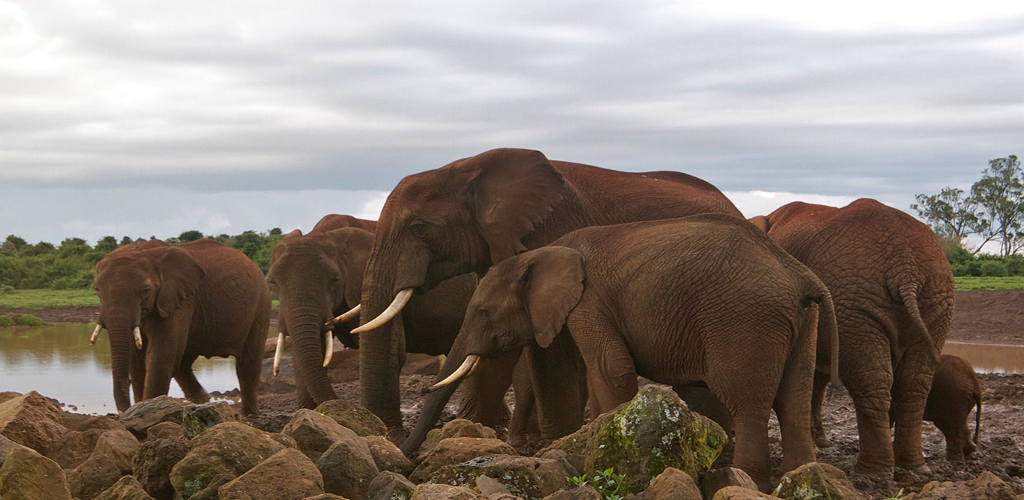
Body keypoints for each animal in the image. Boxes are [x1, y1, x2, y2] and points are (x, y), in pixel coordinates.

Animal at [92, 238, 272, 413]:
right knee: (183, 362)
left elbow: (161, 354)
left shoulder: (181, 301)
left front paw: (147, 408)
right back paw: (202, 400)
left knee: (247, 364)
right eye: (97, 290)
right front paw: (140, 408)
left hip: (261, 304)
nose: (123, 411)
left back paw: (249, 415)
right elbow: (137, 359)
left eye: (146, 290)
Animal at [356, 145, 741, 440]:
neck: (467, 167)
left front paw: (553, 443)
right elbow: (494, 353)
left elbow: (548, 353)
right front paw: (470, 435)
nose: (392, 437)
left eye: (418, 228)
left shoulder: (551, 235)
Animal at [411, 213, 835, 489]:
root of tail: (802, 276)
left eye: (483, 312)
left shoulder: (589, 302)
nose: (413, 459)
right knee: (793, 400)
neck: (540, 253)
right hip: (801, 324)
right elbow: (572, 367)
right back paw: (799, 477)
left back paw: (749, 481)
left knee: (747, 402)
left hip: (745, 320)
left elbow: (609, 369)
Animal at [749, 197, 954, 477]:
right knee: (914, 383)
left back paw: (873, 472)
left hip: (854, 300)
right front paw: (820, 443)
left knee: (872, 379)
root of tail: (904, 264)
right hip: (930, 298)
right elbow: (816, 377)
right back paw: (912, 467)